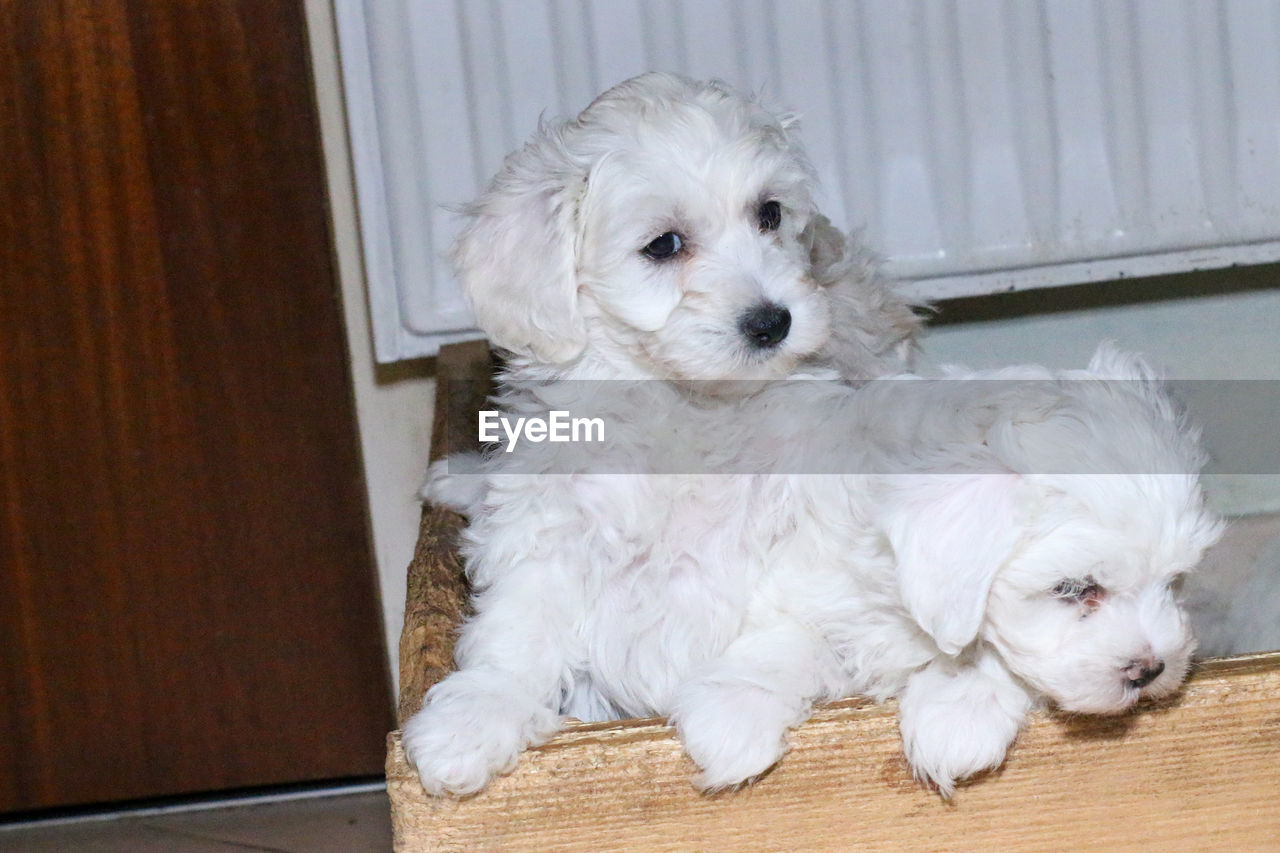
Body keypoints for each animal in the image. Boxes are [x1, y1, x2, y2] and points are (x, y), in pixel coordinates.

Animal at [407, 343, 1218, 788]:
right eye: (1076, 588)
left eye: (1176, 582)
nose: (1153, 669)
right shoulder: (796, 586)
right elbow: (789, 642)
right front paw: (732, 716)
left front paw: (959, 709)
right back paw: (458, 479)